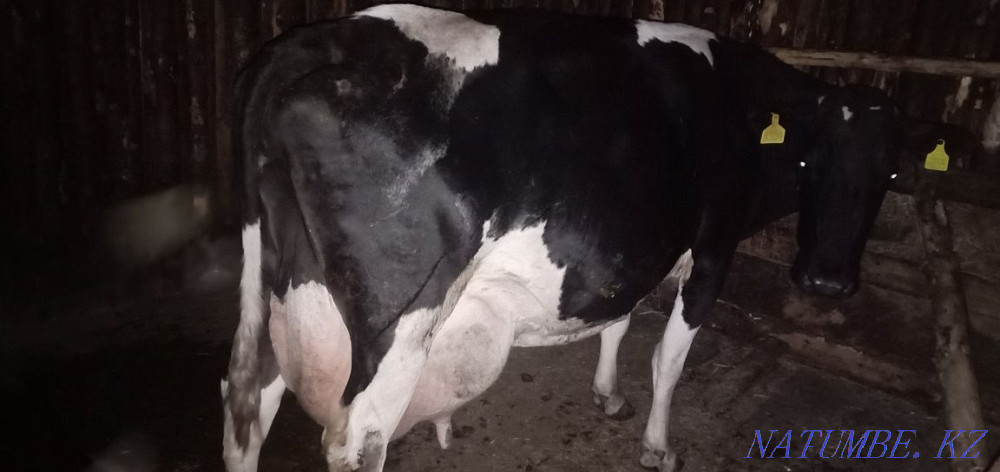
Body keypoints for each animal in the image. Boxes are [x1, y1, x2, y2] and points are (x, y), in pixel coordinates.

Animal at [221, 4, 901, 472]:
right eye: (813, 160)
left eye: (890, 173)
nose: (828, 280)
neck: (733, 103)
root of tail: (314, 40)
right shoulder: (713, 249)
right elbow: (669, 358)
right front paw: (658, 447)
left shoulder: (629, 248)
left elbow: (619, 320)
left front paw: (607, 395)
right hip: (399, 324)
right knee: (358, 440)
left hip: (282, 288)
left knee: (247, 403)